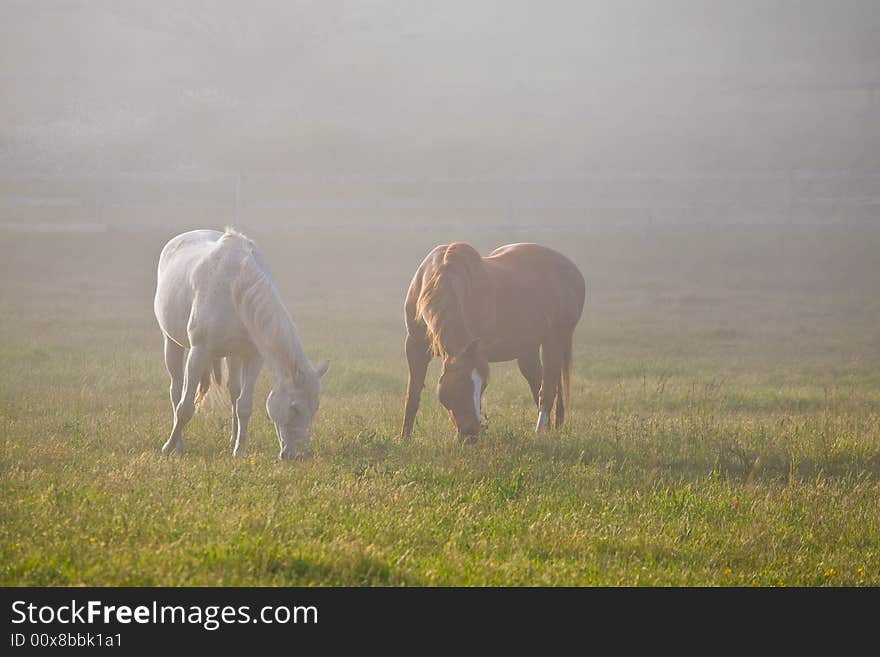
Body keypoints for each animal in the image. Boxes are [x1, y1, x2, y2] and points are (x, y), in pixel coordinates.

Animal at [153, 228, 328, 458]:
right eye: (295, 408)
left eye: (315, 407)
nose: (299, 454)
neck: (234, 286)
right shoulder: (199, 352)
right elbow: (185, 408)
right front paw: (168, 447)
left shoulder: (253, 356)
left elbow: (244, 405)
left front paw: (240, 451)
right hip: (172, 344)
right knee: (176, 390)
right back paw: (178, 445)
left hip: (233, 355)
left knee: (234, 392)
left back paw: (232, 439)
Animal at [404, 241, 584, 436]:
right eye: (460, 382)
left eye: (483, 386)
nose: (471, 433)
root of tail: (573, 270)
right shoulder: (415, 348)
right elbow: (412, 397)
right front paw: (404, 439)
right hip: (529, 349)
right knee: (540, 383)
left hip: (555, 339)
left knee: (548, 389)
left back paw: (540, 434)